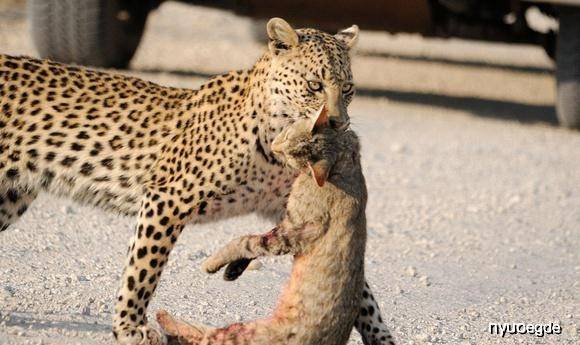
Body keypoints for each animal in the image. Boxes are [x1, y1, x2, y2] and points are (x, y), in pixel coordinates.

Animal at [155, 107, 394, 344]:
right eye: (287, 135)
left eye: (290, 155)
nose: (274, 147)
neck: (345, 159)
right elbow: (253, 246)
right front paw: (233, 269)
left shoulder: (294, 231)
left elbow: (247, 241)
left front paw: (214, 262)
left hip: (240, 333)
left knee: (205, 335)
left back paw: (163, 317)